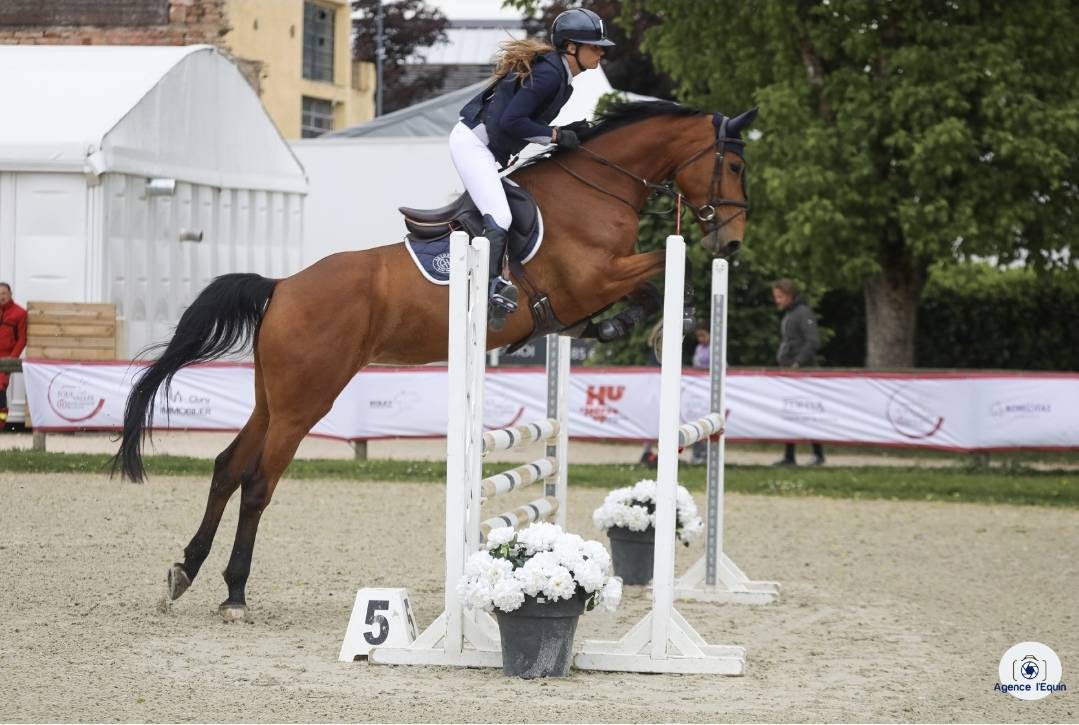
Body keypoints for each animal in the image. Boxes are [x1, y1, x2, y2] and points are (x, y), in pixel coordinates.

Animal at [112, 100, 757, 620]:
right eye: (734, 165)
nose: (731, 242)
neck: (595, 187)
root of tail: (283, 287)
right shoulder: (593, 279)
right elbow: (659, 271)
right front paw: (665, 323)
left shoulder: (597, 283)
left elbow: (646, 285)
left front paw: (622, 327)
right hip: (305, 402)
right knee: (257, 483)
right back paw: (235, 593)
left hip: (272, 397)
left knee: (226, 468)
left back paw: (186, 571)